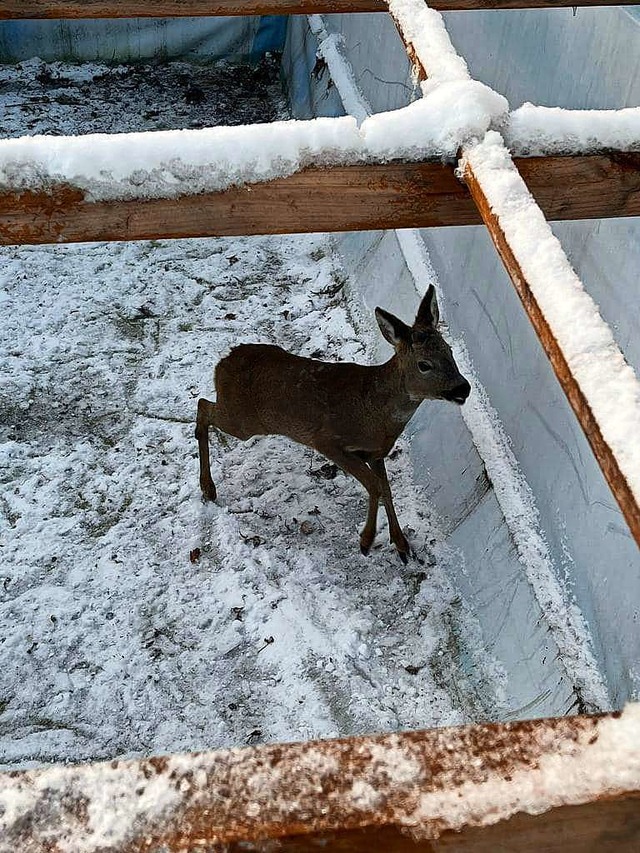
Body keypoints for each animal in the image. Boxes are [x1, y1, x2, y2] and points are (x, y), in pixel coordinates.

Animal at [198, 286, 472, 564]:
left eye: (449, 351)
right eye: (424, 365)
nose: (463, 388)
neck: (374, 410)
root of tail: (221, 364)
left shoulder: (376, 453)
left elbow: (385, 488)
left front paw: (402, 545)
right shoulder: (328, 441)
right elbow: (374, 486)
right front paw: (366, 541)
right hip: (244, 421)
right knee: (203, 406)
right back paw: (208, 488)